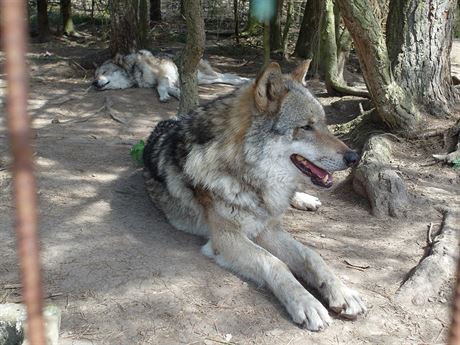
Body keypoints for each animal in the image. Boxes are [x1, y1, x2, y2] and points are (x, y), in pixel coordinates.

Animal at [92, 49, 250, 102]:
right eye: (95, 76)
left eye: (104, 72)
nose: (94, 83)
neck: (134, 69)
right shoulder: (166, 81)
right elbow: (169, 89)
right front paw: (178, 94)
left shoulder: (163, 75)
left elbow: (161, 88)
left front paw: (164, 97)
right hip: (202, 80)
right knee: (224, 77)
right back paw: (242, 81)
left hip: (201, 76)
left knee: (224, 76)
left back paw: (245, 80)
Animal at [144, 60, 366, 330]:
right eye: (306, 127)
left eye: (324, 124)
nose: (353, 157)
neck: (247, 177)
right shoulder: (227, 238)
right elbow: (275, 262)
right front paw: (307, 303)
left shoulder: (268, 228)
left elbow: (312, 256)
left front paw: (342, 292)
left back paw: (305, 200)